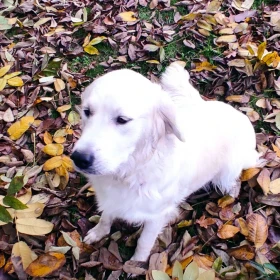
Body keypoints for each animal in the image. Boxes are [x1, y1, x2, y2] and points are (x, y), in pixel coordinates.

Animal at [71, 63, 260, 262]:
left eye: (122, 120)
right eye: (87, 111)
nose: (79, 158)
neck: (131, 171)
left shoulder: (156, 216)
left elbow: (144, 242)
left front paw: (136, 263)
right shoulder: (111, 199)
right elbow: (106, 217)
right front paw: (98, 232)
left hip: (228, 170)